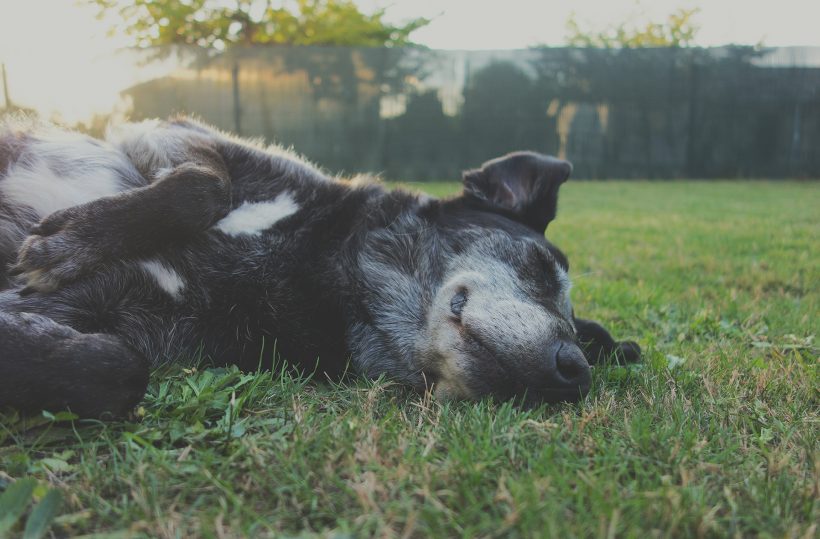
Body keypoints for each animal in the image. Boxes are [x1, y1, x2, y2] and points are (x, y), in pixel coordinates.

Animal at [0, 116, 640, 416]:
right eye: (539, 266)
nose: (574, 372)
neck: (316, 269)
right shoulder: (174, 134)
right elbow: (203, 188)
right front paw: (66, 243)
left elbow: (117, 369)